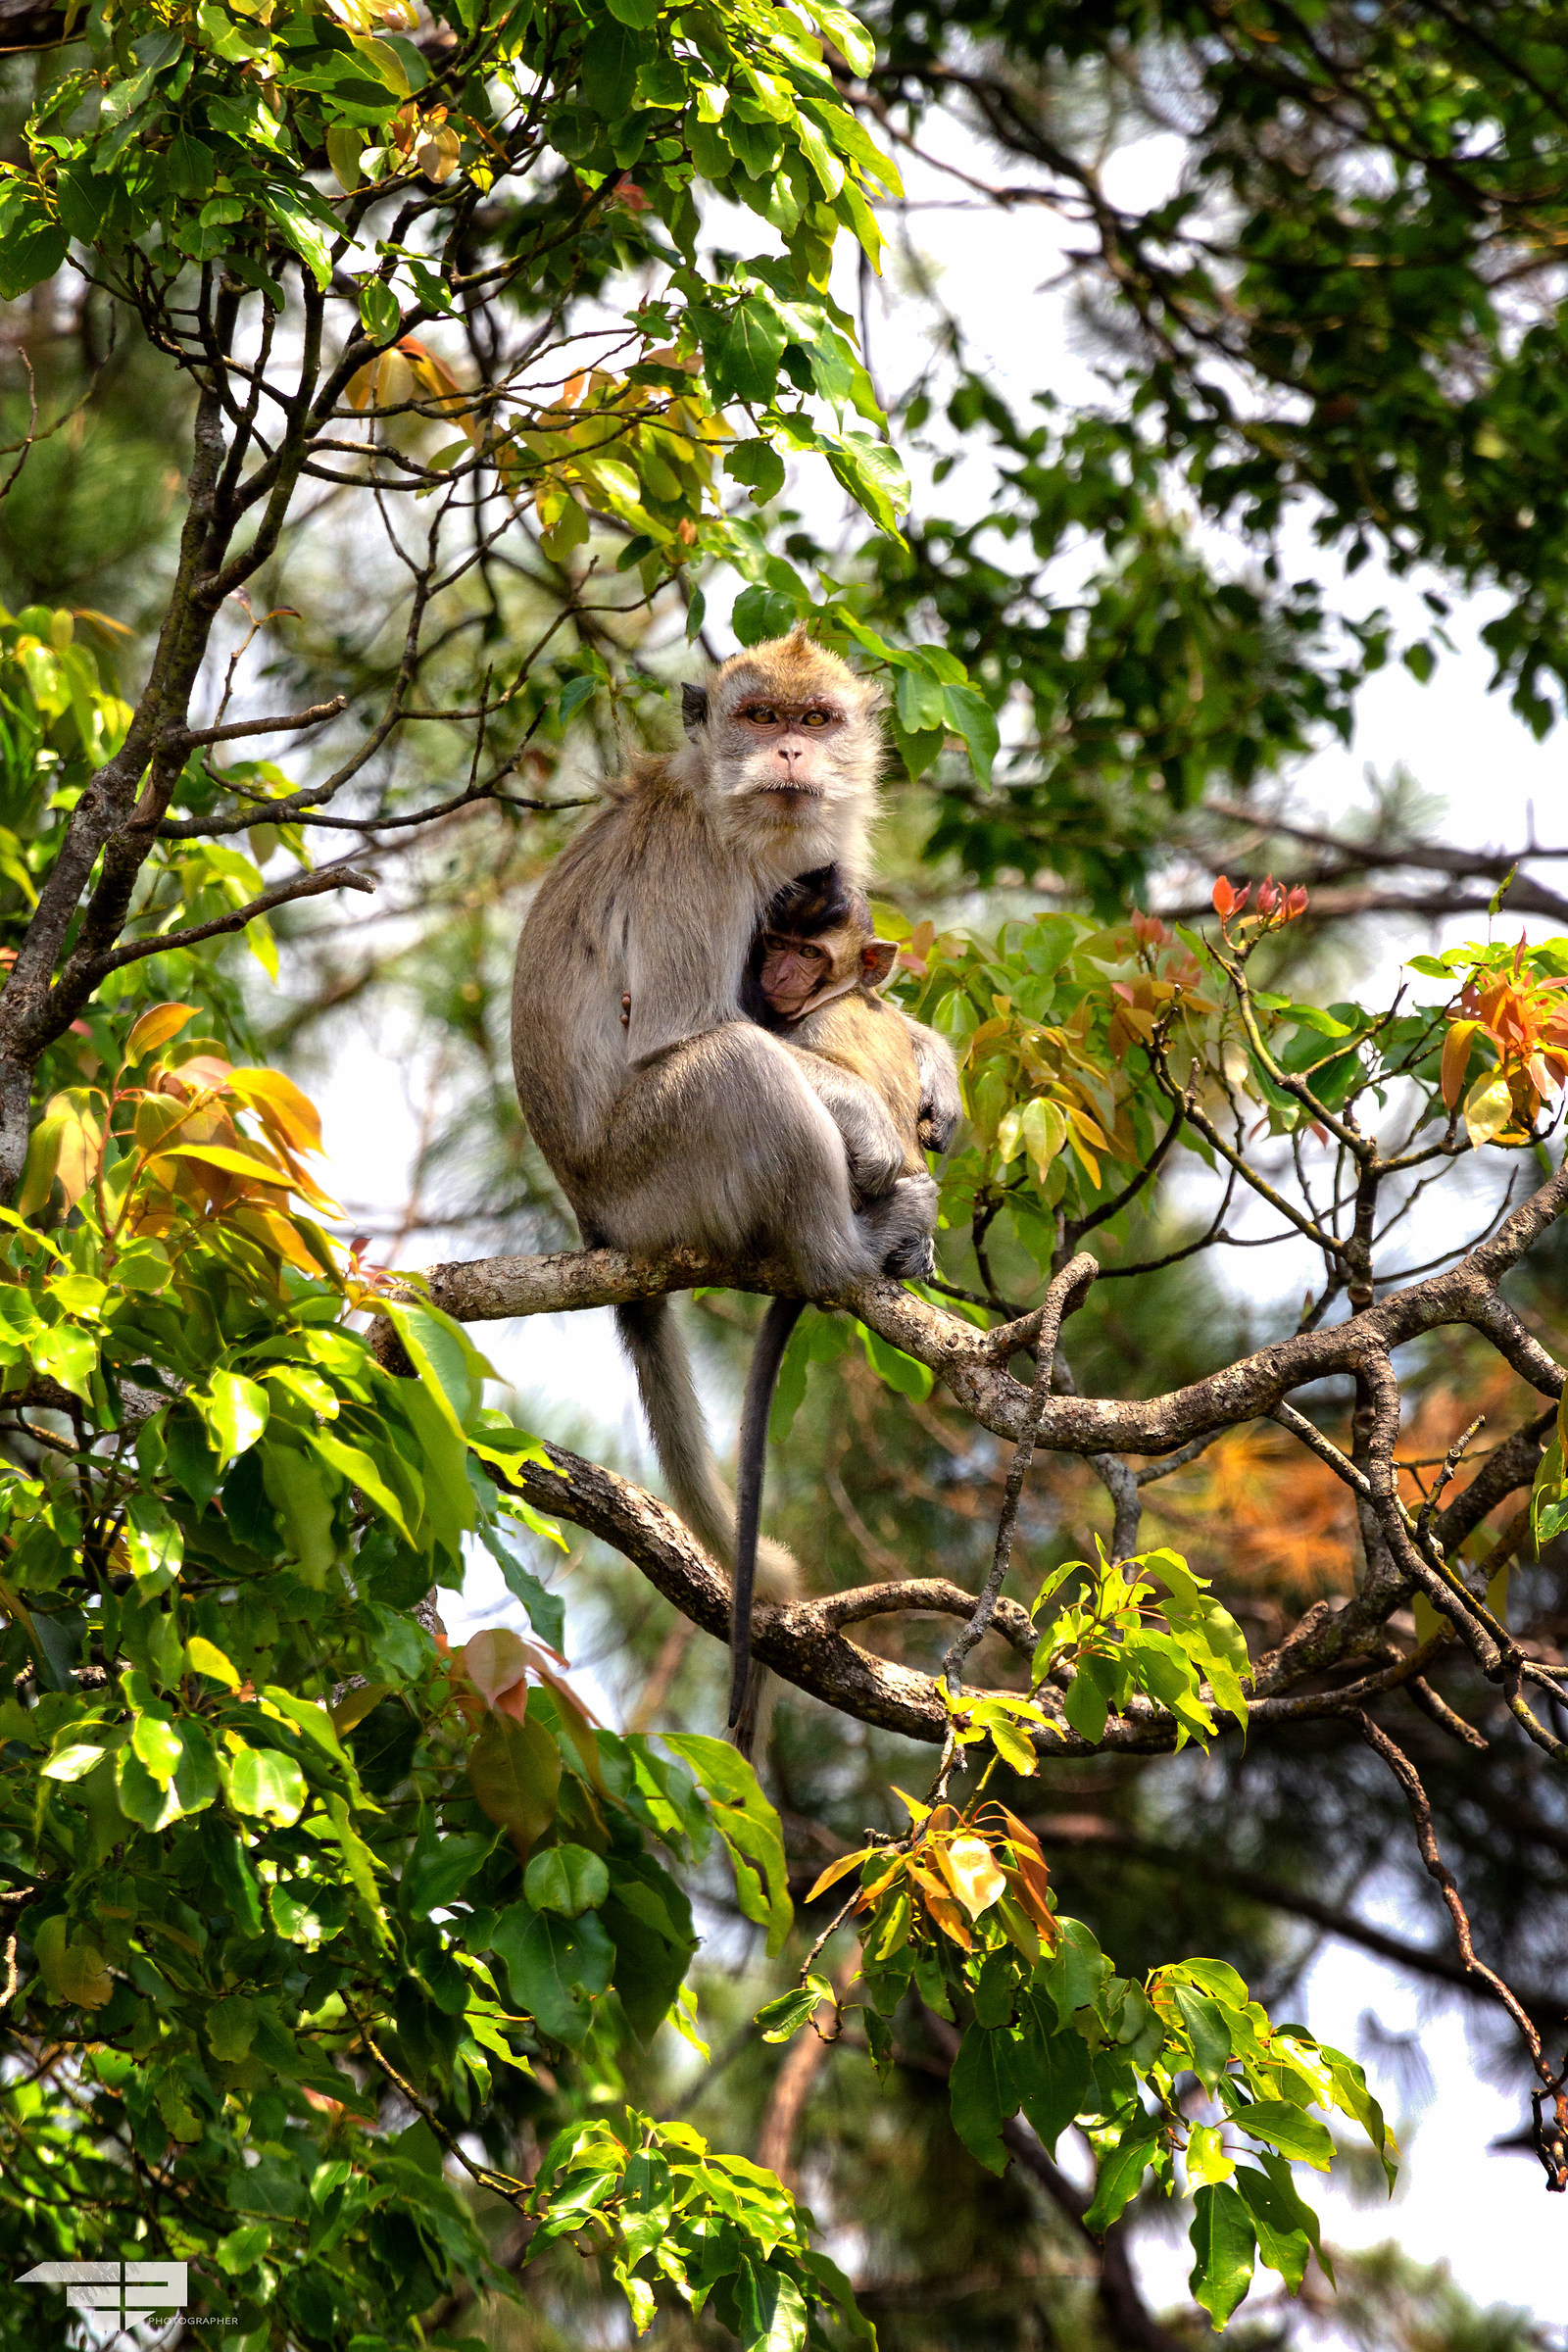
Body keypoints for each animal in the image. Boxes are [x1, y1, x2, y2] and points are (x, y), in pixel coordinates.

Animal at [510, 629, 962, 1754]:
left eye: (813, 721)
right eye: (758, 718)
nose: (790, 756)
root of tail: (591, 1215)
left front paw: (933, 1063)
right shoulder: (696, 880)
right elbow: (694, 1028)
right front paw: (886, 1143)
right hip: (655, 1170)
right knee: (738, 1069)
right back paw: (844, 1250)